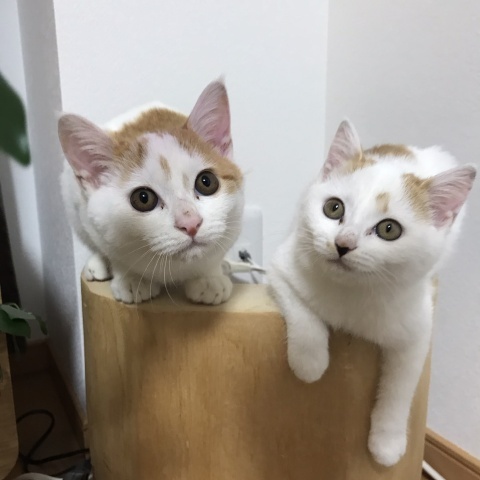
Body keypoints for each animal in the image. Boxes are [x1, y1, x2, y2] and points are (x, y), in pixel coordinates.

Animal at [58, 79, 244, 305]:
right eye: (143, 198)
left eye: (206, 182)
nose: (190, 223)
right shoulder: (90, 219)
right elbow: (112, 251)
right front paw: (131, 277)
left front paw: (209, 277)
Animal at [268, 120, 476, 467]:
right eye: (333, 207)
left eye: (389, 229)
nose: (343, 243)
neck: (352, 292)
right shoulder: (281, 266)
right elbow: (302, 311)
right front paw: (310, 361)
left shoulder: (416, 329)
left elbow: (400, 386)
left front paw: (387, 442)